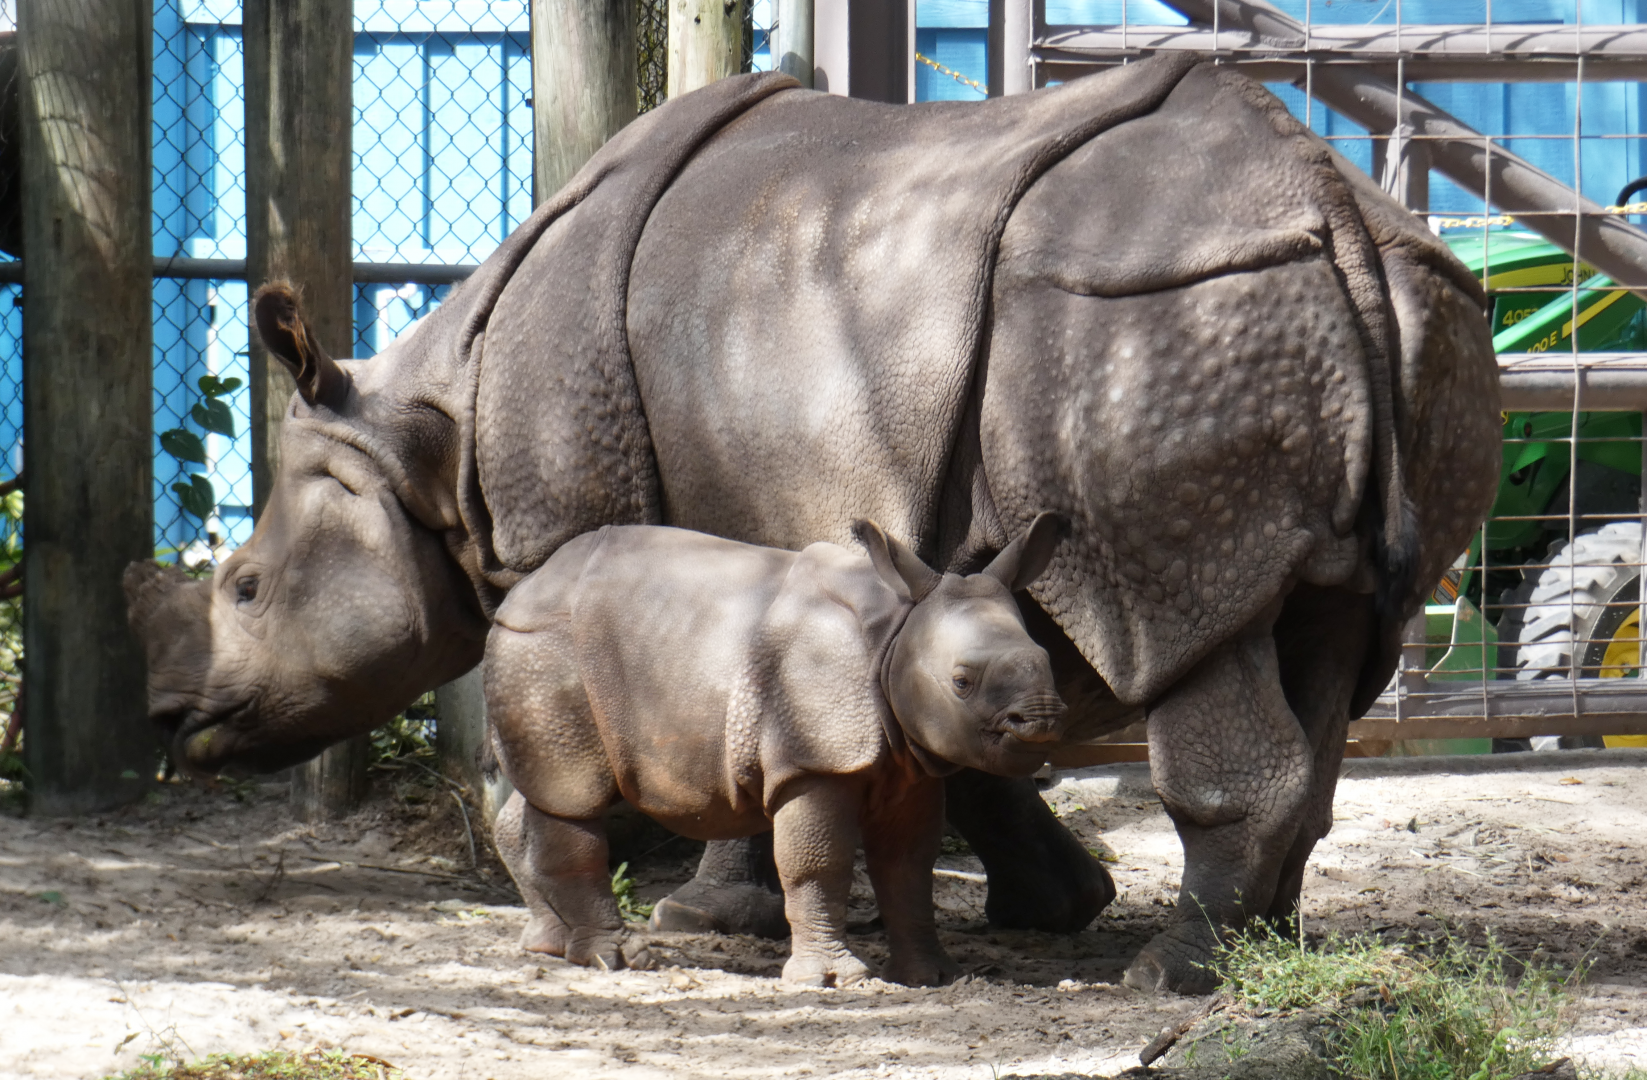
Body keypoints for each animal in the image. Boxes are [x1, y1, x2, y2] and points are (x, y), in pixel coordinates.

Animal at [489, 514, 1067, 986]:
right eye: (961, 682)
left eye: (1047, 659)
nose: (1041, 722)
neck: (897, 633)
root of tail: (519, 592)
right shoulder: (811, 760)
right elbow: (818, 862)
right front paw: (833, 980)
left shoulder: (912, 766)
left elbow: (908, 868)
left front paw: (934, 977)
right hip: (547, 645)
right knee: (574, 795)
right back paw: (618, 959)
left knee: (539, 794)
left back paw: (551, 946)